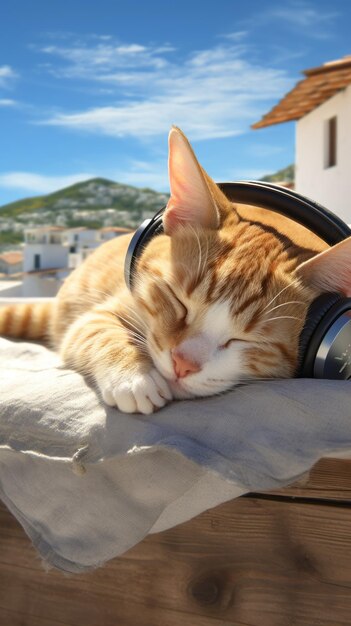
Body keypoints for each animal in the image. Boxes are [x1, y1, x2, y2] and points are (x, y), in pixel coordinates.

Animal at [0, 125, 351, 414]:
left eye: (243, 340)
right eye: (177, 301)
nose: (183, 365)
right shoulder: (104, 310)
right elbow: (96, 330)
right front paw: (134, 377)